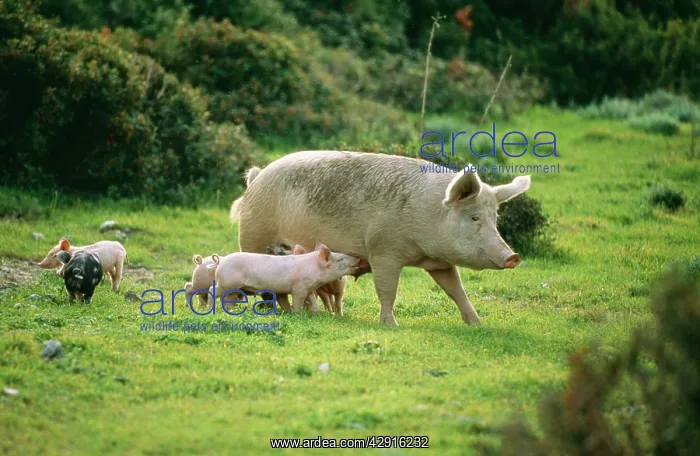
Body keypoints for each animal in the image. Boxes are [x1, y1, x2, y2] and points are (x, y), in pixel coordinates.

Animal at [205, 243, 365, 313]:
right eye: (339, 259)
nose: (358, 258)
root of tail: (221, 261)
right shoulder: (299, 287)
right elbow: (298, 301)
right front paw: (298, 314)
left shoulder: (308, 288)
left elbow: (313, 302)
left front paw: (314, 312)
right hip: (225, 282)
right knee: (212, 289)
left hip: (232, 287)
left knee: (228, 298)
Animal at [229, 151, 531, 326]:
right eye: (474, 218)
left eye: (494, 218)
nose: (513, 256)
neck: (429, 215)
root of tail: (256, 177)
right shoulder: (384, 251)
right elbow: (387, 290)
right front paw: (390, 325)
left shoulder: (440, 262)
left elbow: (456, 290)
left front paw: (477, 324)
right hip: (253, 234)